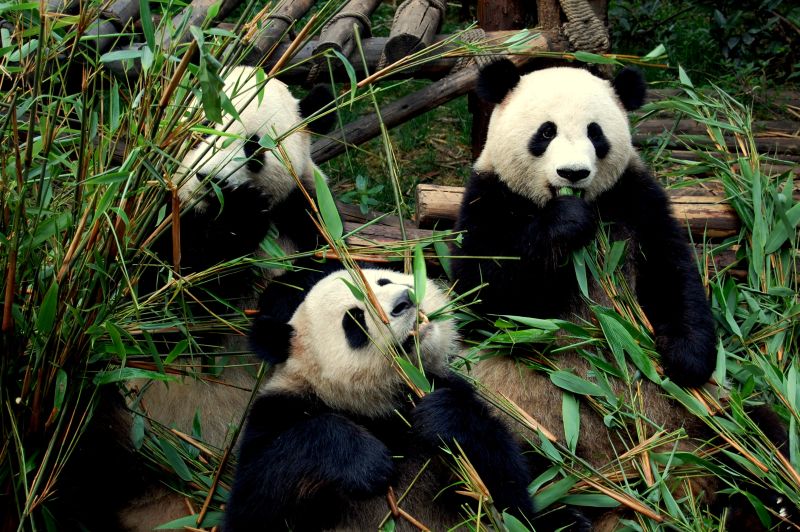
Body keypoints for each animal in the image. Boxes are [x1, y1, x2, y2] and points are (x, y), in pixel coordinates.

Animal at [225, 265, 591, 531]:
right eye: (354, 320)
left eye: (383, 280)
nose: (405, 300)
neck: (381, 408)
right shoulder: (277, 413)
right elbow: (256, 502)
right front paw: (366, 462)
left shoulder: (448, 386)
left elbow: (506, 493)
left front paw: (442, 418)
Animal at [451, 60, 792, 529]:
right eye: (545, 132)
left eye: (595, 133)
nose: (573, 174)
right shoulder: (488, 200)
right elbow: (482, 294)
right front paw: (566, 222)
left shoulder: (635, 200)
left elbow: (673, 274)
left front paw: (685, 358)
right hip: (521, 414)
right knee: (490, 454)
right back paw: (563, 515)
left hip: (705, 414)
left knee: (758, 434)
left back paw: (769, 497)